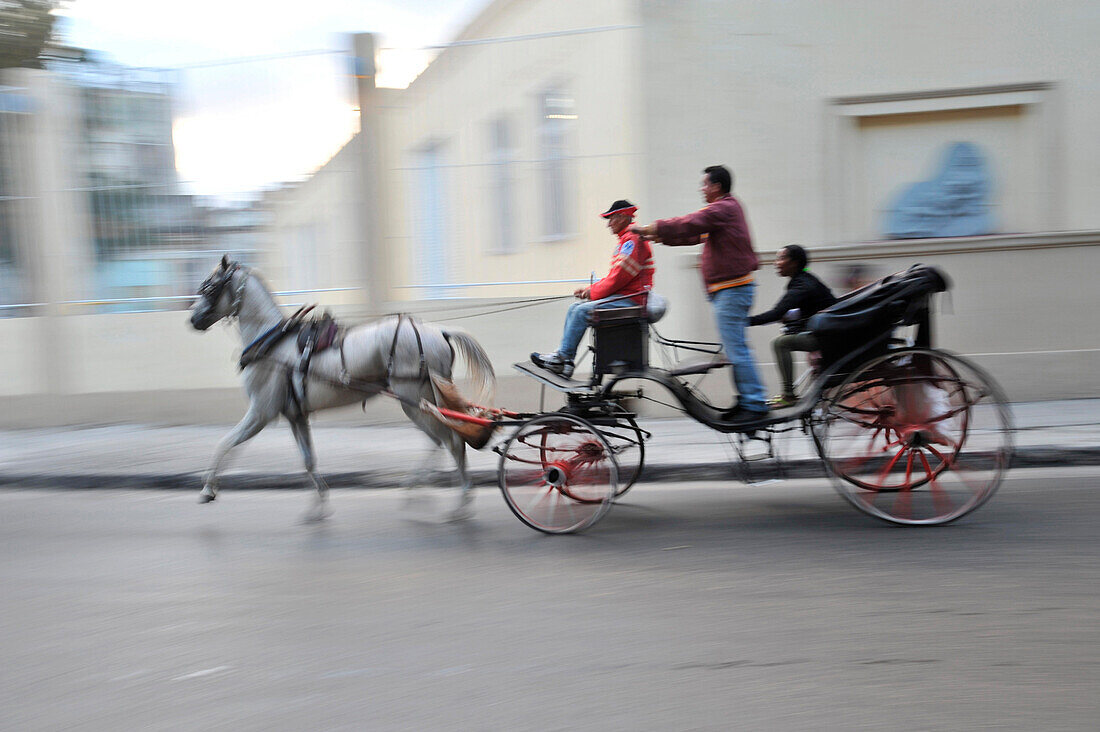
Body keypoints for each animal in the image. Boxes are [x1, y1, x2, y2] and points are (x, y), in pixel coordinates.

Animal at [189, 255, 495, 519]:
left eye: (210, 286)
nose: (193, 319)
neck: (271, 343)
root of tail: (439, 332)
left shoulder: (260, 413)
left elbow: (225, 442)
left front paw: (208, 488)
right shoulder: (295, 416)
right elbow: (308, 459)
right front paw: (319, 505)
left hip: (414, 399)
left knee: (450, 441)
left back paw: (459, 499)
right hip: (422, 400)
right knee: (440, 441)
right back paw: (419, 489)